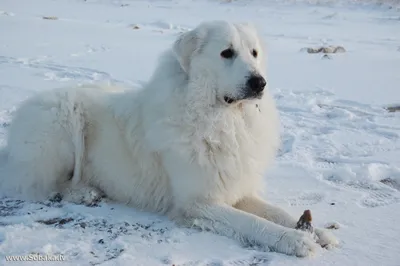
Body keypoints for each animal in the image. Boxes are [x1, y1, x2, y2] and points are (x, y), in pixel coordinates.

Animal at [0, 20, 338, 258]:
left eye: (254, 53)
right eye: (226, 53)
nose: (259, 82)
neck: (222, 121)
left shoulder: (237, 187)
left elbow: (277, 212)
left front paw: (317, 231)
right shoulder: (198, 203)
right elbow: (254, 223)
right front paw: (295, 240)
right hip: (62, 119)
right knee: (43, 185)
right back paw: (83, 193)